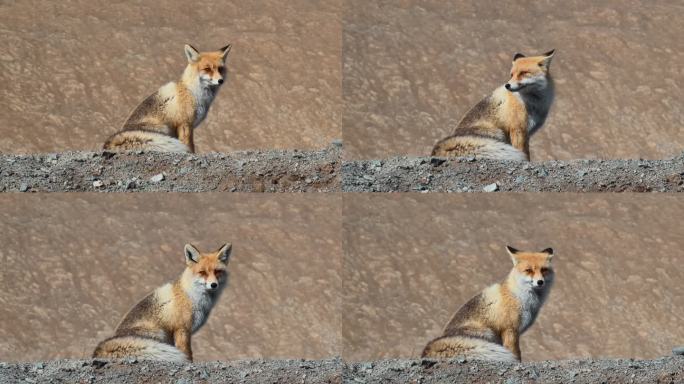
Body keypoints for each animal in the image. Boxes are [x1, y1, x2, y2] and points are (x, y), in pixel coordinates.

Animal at [93, 243, 232, 364]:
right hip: (159, 333)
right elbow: (187, 353)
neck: (192, 295)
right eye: (202, 272)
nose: (213, 285)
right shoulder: (182, 329)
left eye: (217, 271)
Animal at [103, 44, 234, 152]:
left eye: (220, 69)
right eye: (207, 69)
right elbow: (189, 146)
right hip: (164, 128)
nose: (221, 80)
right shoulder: (185, 124)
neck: (194, 92)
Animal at [422, 244, 556, 362]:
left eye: (544, 270)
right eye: (528, 270)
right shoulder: (510, 330)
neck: (520, 296)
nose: (540, 282)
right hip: (488, 333)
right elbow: (515, 352)